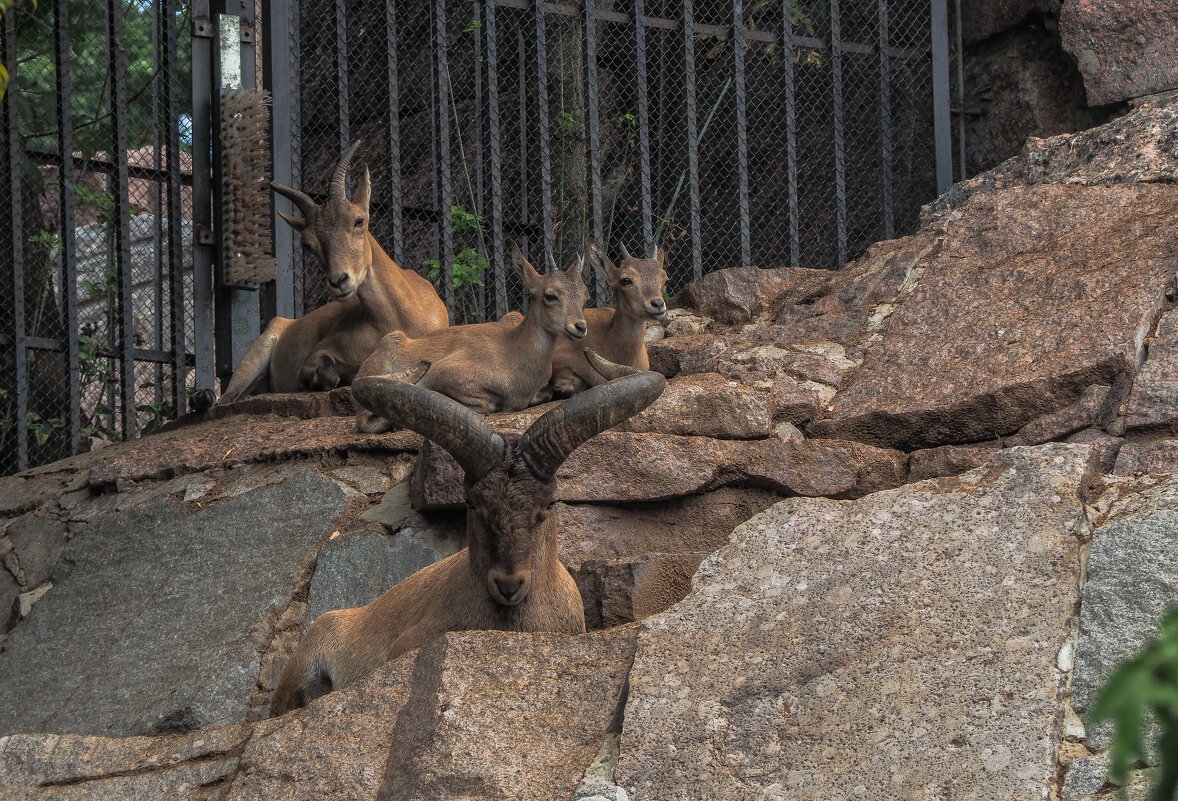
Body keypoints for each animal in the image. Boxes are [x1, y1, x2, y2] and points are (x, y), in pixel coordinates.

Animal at [214, 140, 447, 402]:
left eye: (359, 220)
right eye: (308, 243)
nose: (339, 281)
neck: (402, 317)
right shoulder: (320, 352)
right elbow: (325, 374)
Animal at [348, 239, 589, 431]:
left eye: (585, 295)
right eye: (550, 295)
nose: (580, 326)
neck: (514, 353)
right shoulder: (443, 372)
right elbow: (487, 403)